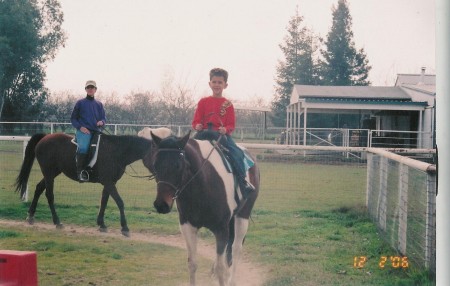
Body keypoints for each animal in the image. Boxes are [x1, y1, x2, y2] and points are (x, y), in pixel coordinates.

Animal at [14, 131, 162, 236]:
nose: (159, 174)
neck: (116, 151)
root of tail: (45, 137)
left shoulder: (109, 182)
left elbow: (104, 201)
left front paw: (101, 224)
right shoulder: (109, 182)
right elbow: (120, 202)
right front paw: (124, 227)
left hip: (52, 173)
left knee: (39, 188)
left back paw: (31, 216)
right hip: (49, 173)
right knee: (49, 195)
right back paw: (57, 222)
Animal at [149, 132, 258, 286]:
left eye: (178, 165)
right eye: (155, 164)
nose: (161, 204)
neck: (202, 184)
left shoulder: (221, 229)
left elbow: (220, 267)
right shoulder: (187, 227)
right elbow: (192, 264)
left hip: (242, 216)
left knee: (236, 249)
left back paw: (232, 280)